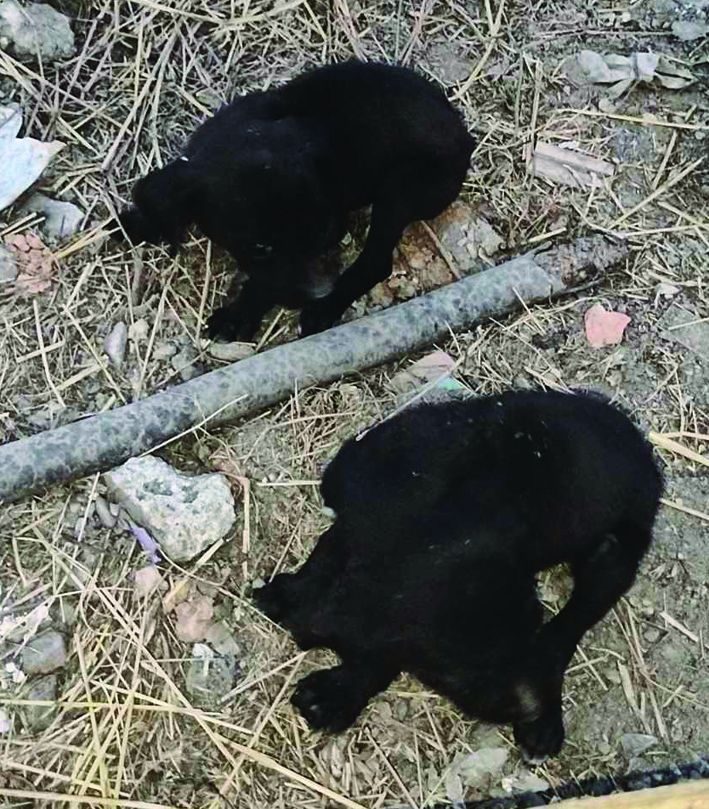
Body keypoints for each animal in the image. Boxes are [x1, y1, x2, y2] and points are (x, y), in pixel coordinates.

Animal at [117, 61, 470, 340]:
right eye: (260, 247)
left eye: (325, 232)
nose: (320, 290)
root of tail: (464, 136)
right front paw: (139, 222)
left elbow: (265, 282)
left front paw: (238, 315)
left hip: (400, 190)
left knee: (376, 261)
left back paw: (326, 308)